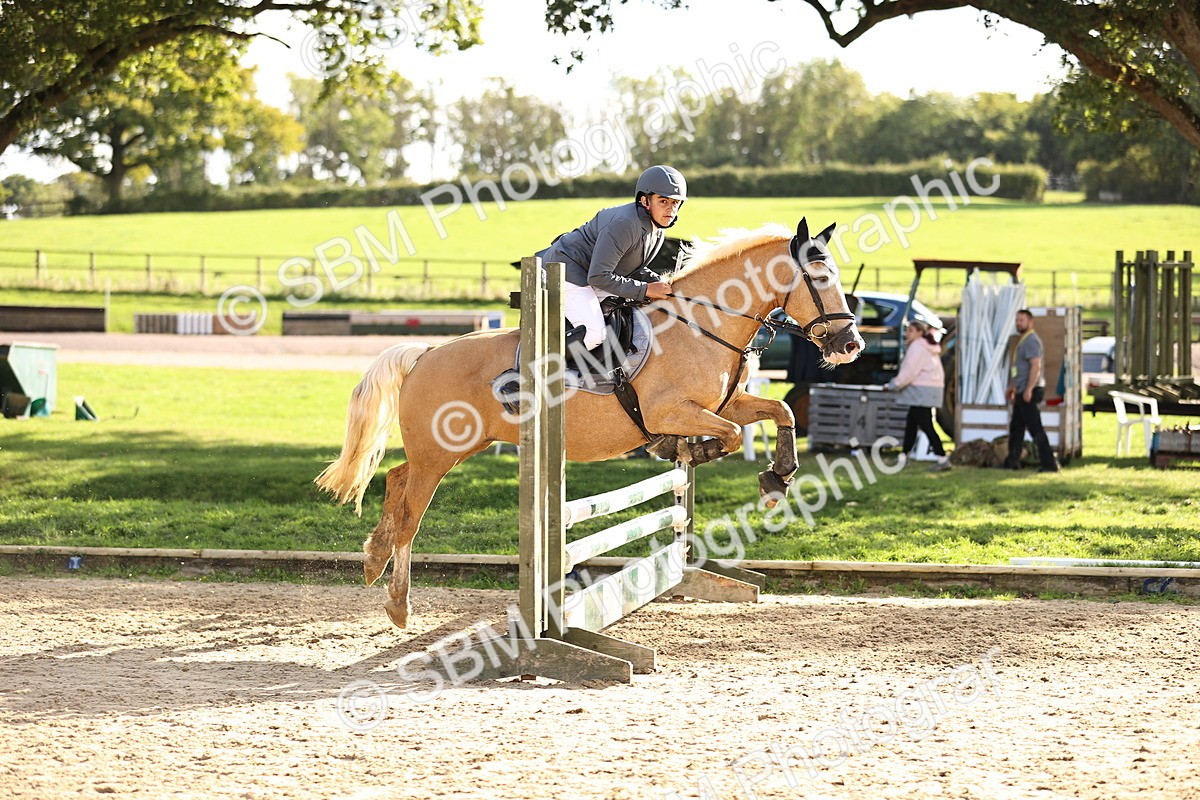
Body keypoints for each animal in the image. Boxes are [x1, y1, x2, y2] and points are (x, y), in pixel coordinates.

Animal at [316, 218, 864, 629]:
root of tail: (426, 352)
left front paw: (776, 479)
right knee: (412, 513)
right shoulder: (672, 410)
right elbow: (724, 437)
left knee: (395, 478)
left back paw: (372, 559)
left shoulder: (724, 404)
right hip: (439, 454)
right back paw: (398, 604)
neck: (702, 323)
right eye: (820, 279)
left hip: (454, 447)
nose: (850, 345)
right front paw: (686, 451)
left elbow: (780, 412)